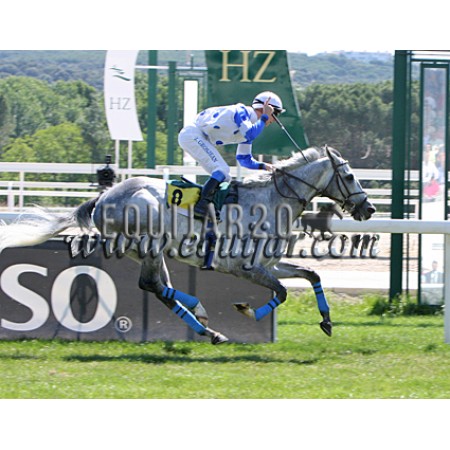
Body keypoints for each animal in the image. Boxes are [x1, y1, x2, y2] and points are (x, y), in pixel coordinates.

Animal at [0, 146, 375, 344]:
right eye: (350, 176)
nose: (368, 208)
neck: (270, 200)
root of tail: (105, 196)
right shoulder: (245, 267)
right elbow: (281, 293)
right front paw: (248, 311)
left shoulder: (269, 264)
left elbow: (312, 274)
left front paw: (327, 321)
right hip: (149, 245)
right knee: (152, 285)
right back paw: (203, 318)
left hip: (145, 251)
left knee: (157, 287)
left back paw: (203, 320)